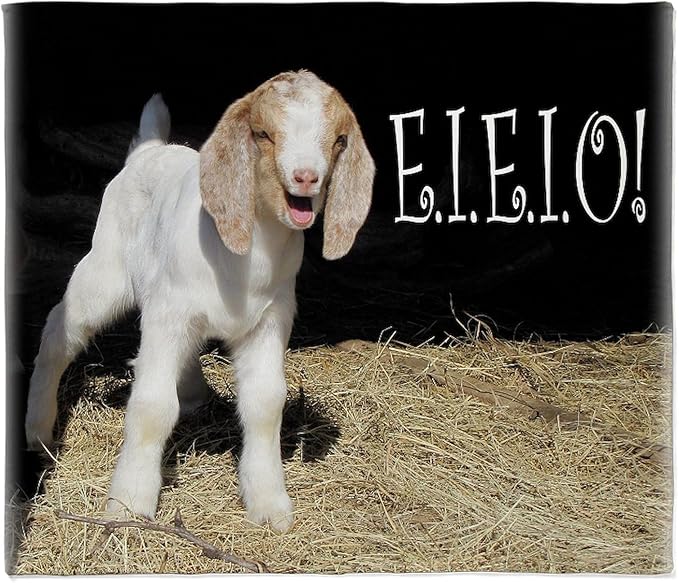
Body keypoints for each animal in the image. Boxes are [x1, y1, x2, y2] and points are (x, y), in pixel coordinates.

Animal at [24, 70, 375, 532]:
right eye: (263, 133)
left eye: (337, 140)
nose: (305, 177)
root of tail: (149, 149)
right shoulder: (167, 314)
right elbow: (152, 405)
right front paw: (130, 505)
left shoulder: (270, 320)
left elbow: (266, 403)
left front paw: (270, 505)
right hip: (106, 269)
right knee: (59, 328)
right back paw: (37, 429)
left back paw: (192, 391)